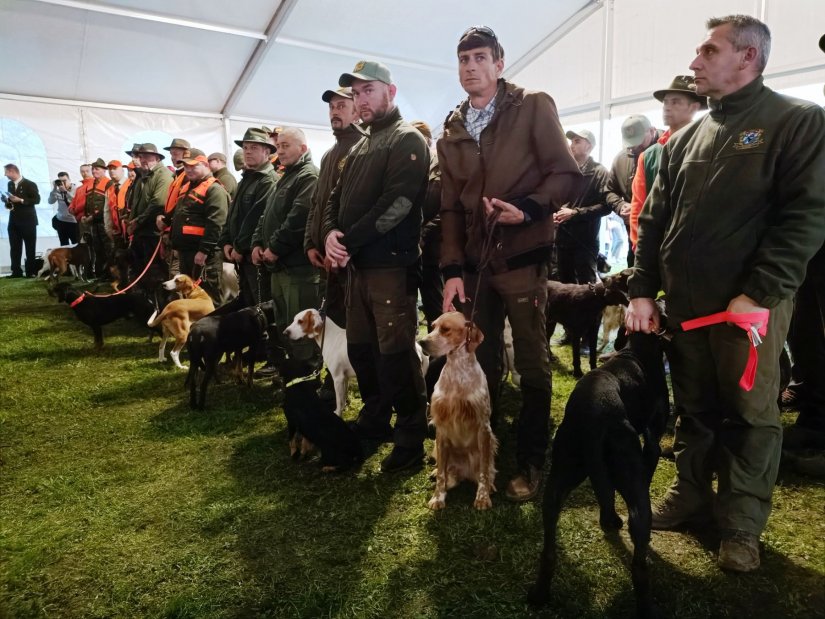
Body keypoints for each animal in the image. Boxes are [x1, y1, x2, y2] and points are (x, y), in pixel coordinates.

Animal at [418, 312, 496, 512]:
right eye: (433, 326)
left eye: (446, 329)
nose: (421, 342)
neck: (457, 369)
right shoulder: (441, 428)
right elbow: (441, 475)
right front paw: (437, 498)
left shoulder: (484, 428)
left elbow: (484, 471)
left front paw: (482, 497)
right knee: (445, 471)